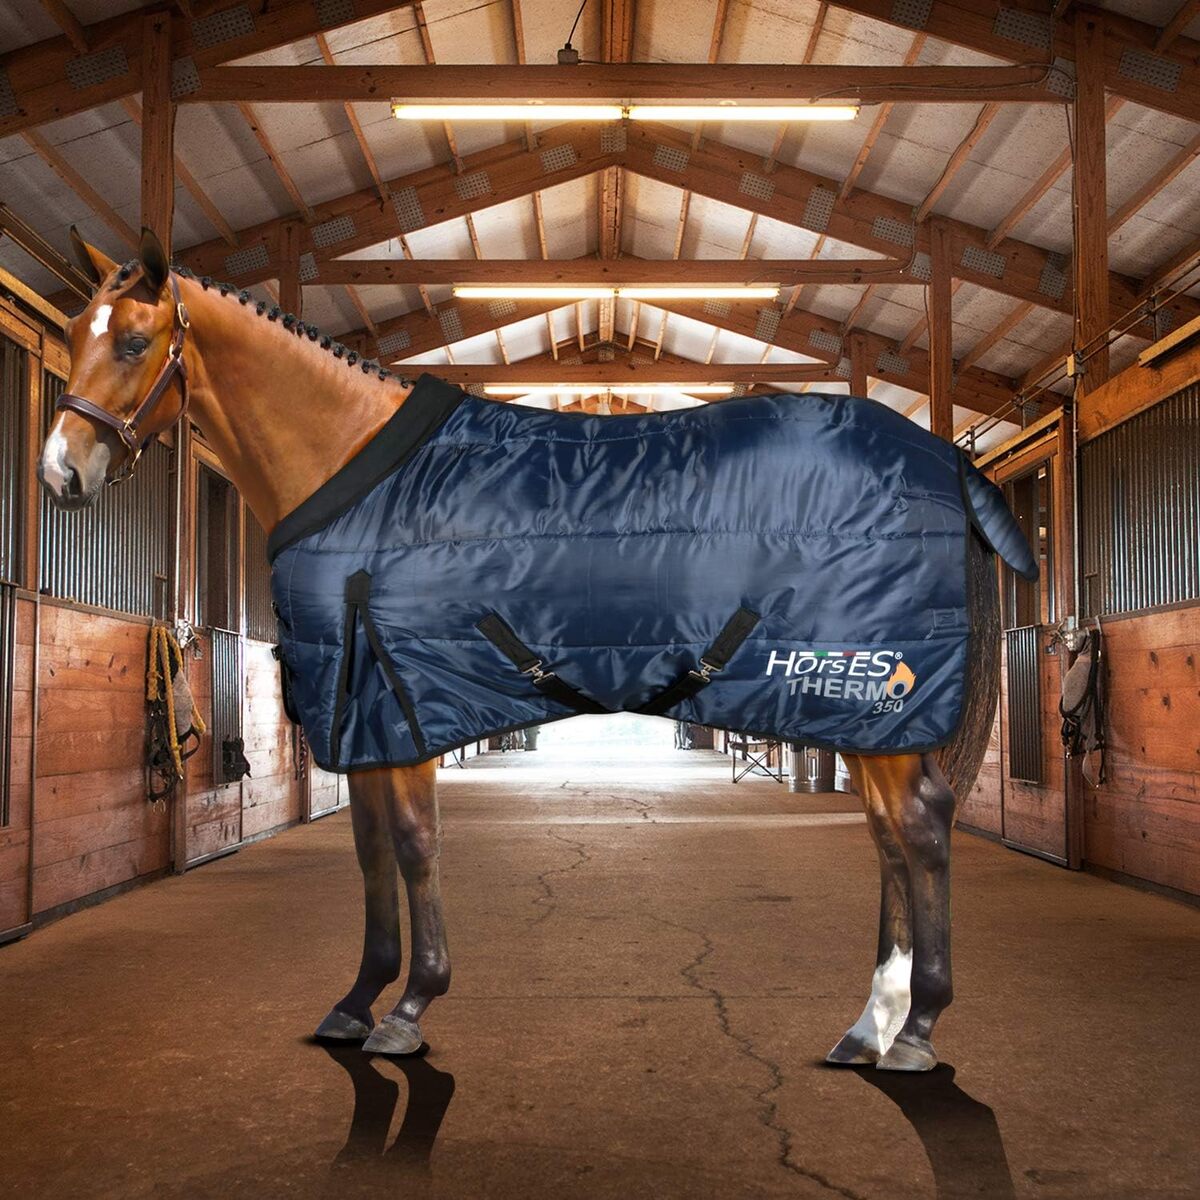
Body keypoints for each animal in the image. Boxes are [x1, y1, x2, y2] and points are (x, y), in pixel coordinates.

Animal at [38, 228, 1002, 1072]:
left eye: (133, 342)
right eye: (74, 334)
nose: (59, 474)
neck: (357, 468)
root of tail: (946, 461)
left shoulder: (403, 703)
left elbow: (414, 842)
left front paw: (410, 1008)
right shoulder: (363, 717)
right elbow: (372, 849)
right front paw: (356, 1002)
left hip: (869, 699)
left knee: (918, 828)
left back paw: (915, 1031)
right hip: (862, 714)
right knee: (889, 835)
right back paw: (869, 1027)